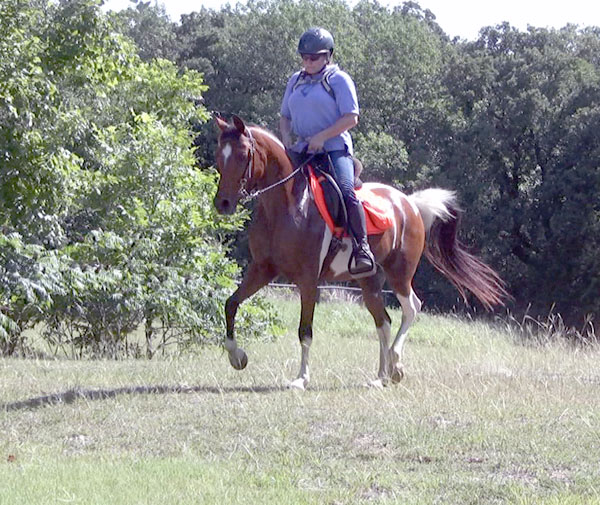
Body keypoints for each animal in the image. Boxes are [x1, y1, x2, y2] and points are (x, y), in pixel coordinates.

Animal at [211, 115, 506, 390]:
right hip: (369, 281)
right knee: (383, 322)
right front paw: (237, 357)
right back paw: (381, 377)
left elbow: (305, 330)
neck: (289, 204)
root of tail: (409, 204)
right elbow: (231, 303)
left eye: (242, 155)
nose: (223, 203)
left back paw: (396, 365)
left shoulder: (308, 279)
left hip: (399, 273)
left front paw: (301, 379)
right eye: (218, 156)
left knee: (411, 308)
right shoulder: (262, 269)